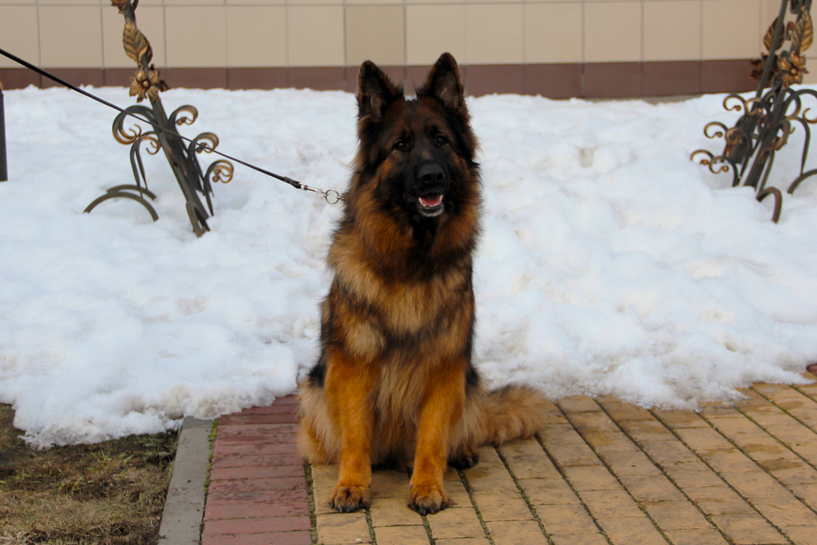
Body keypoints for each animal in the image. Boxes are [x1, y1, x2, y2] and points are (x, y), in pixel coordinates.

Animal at [298, 53, 548, 515]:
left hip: (469, 380)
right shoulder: (354, 366)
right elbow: (355, 435)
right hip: (314, 388)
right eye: (401, 145)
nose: (432, 177)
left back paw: (461, 452)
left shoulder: (445, 366)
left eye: (441, 140)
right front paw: (352, 485)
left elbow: (432, 437)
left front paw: (428, 487)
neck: (411, 261)